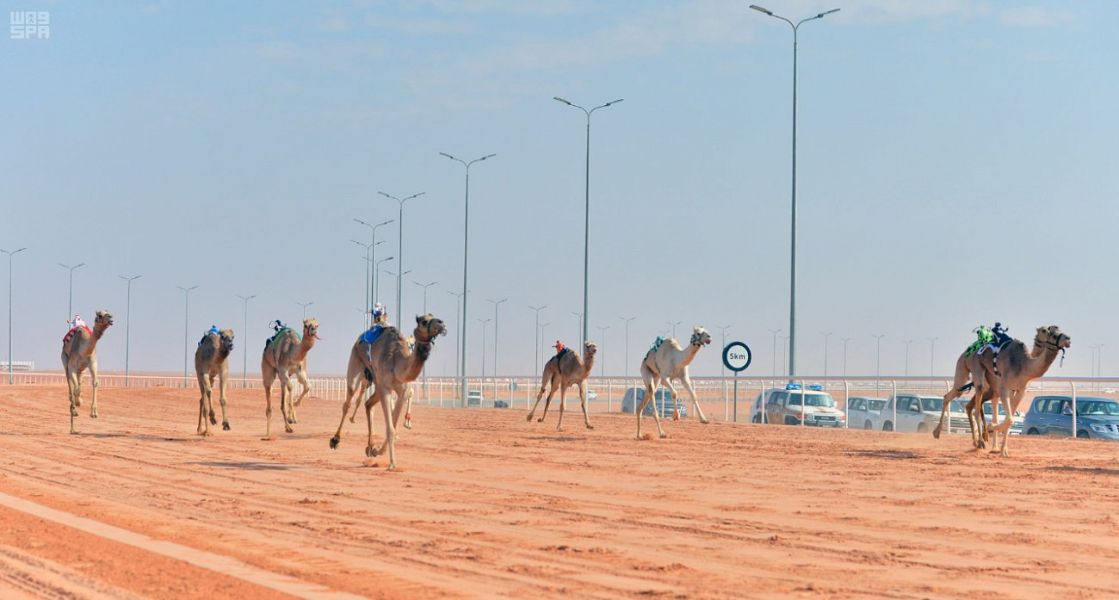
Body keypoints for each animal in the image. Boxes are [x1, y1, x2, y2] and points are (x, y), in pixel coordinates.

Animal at [326, 313, 445, 467]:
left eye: (434, 316)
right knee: (348, 401)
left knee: (368, 404)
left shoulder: (402, 391)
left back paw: (370, 446)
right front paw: (392, 463)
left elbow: (393, 424)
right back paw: (335, 440)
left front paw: (377, 451)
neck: (396, 361)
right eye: (424, 321)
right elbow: (390, 428)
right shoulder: (385, 388)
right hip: (356, 362)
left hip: (375, 381)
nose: (441, 323)